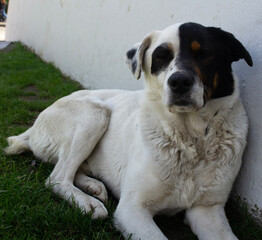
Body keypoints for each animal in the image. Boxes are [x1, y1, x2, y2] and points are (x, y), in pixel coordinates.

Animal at [5, 21, 252, 239]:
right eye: (161, 57)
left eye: (203, 53)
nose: (179, 82)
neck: (191, 138)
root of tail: (34, 127)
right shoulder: (132, 210)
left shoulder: (207, 210)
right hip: (95, 114)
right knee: (57, 177)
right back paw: (88, 202)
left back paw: (93, 185)